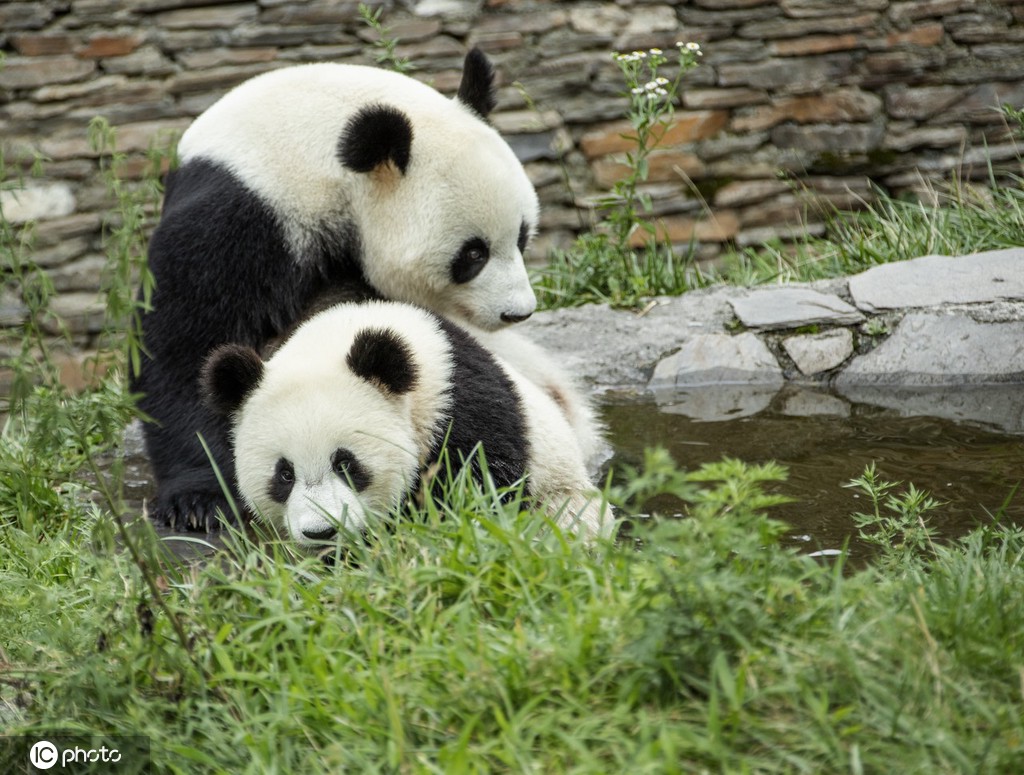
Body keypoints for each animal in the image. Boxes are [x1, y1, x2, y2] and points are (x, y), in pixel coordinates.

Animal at [134, 49, 544, 532]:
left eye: (522, 236)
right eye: (473, 254)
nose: (518, 312)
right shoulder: (244, 213)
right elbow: (186, 344)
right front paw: (200, 501)